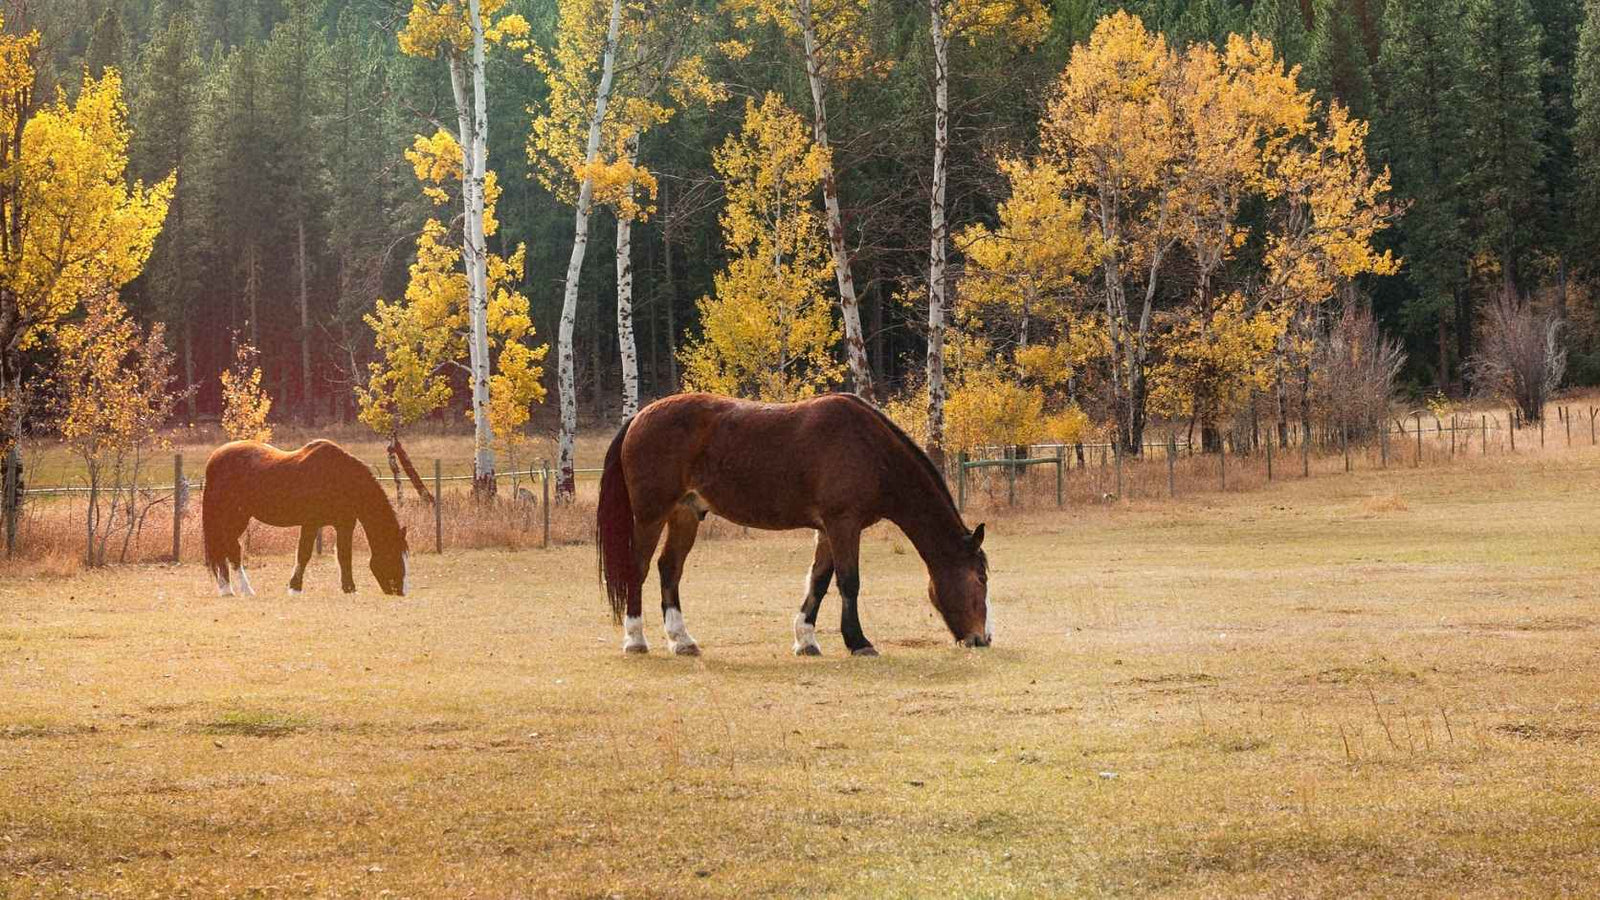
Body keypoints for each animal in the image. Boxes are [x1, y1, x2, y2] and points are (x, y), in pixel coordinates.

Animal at [202, 440, 409, 597]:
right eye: (394, 555)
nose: (401, 591)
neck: (339, 478)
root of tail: (215, 458)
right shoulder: (311, 523)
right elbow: (304, 553)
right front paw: (294, 588)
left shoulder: (345, 524)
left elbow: (344, 555)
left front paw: (350, 589)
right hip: (234, 516)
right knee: (232, 549)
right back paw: (243, 590)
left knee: (225, 548)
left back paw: (227, 589)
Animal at [596, 392, 990, 657]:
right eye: (981, 580)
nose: (982, 638)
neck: (871, 450)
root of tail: (639, 417)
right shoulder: (843, 523)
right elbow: (849, 582)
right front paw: (858, 642)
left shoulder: (829, 528)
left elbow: (819, 581)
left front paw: (806, 639)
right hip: (651, 515)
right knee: (638, 569)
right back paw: (635, 639)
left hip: (685, 514)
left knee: (669, 569)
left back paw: (682, 640)